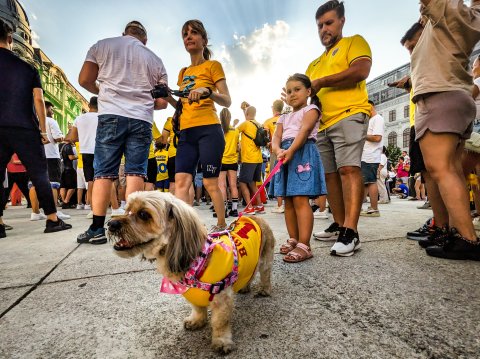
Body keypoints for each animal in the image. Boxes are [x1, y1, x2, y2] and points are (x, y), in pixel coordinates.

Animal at [107, 191, 276, 354]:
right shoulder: (192, 294)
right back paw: (245, 287)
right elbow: (198, 309)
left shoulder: (222, 299)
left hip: (265, 260)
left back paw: (265, 290)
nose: (111, 223)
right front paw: (197, 321)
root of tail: (252, 216)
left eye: (143, 214)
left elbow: (220, 323)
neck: (198, 263)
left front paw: (221, 341)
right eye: (127, 209)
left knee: (265, 275)